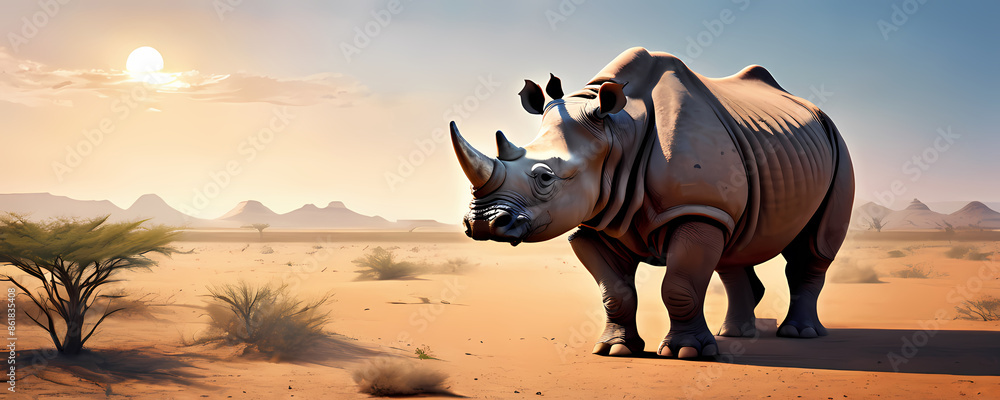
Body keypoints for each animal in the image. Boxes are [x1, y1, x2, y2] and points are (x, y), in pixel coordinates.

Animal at [450, 47, 854, 359]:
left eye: (545, 178)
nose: (482, 222)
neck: (617, 131)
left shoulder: (695, 208)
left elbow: (679, 285)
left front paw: (686, 353)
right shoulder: (595, 220)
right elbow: (615, 293)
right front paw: (614, 350)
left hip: (837, 145)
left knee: (815, 248)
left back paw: (799, 334)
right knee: (734, 244)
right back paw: (734, 335)